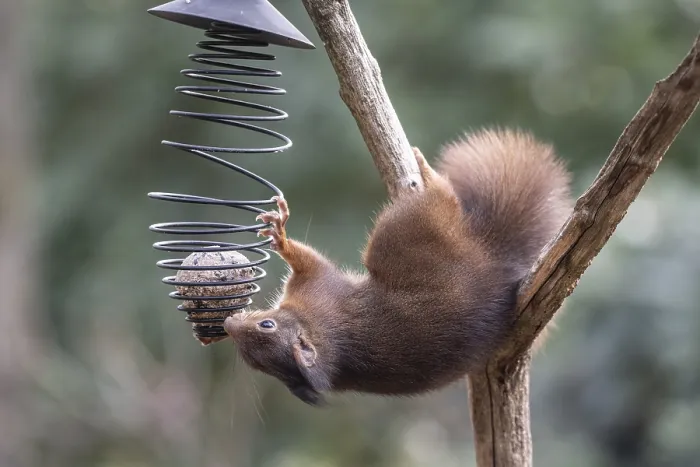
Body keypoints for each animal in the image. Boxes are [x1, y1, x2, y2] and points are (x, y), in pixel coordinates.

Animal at [224, 128, 572, 406]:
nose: (229, 323)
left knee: (441, 198)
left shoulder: (319, 288)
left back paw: (427, 172)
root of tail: (493, 264)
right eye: (253, 362)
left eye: (267, 325)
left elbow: (310, 262)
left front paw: (281, 235)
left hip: (403, 229)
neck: (316, 329)